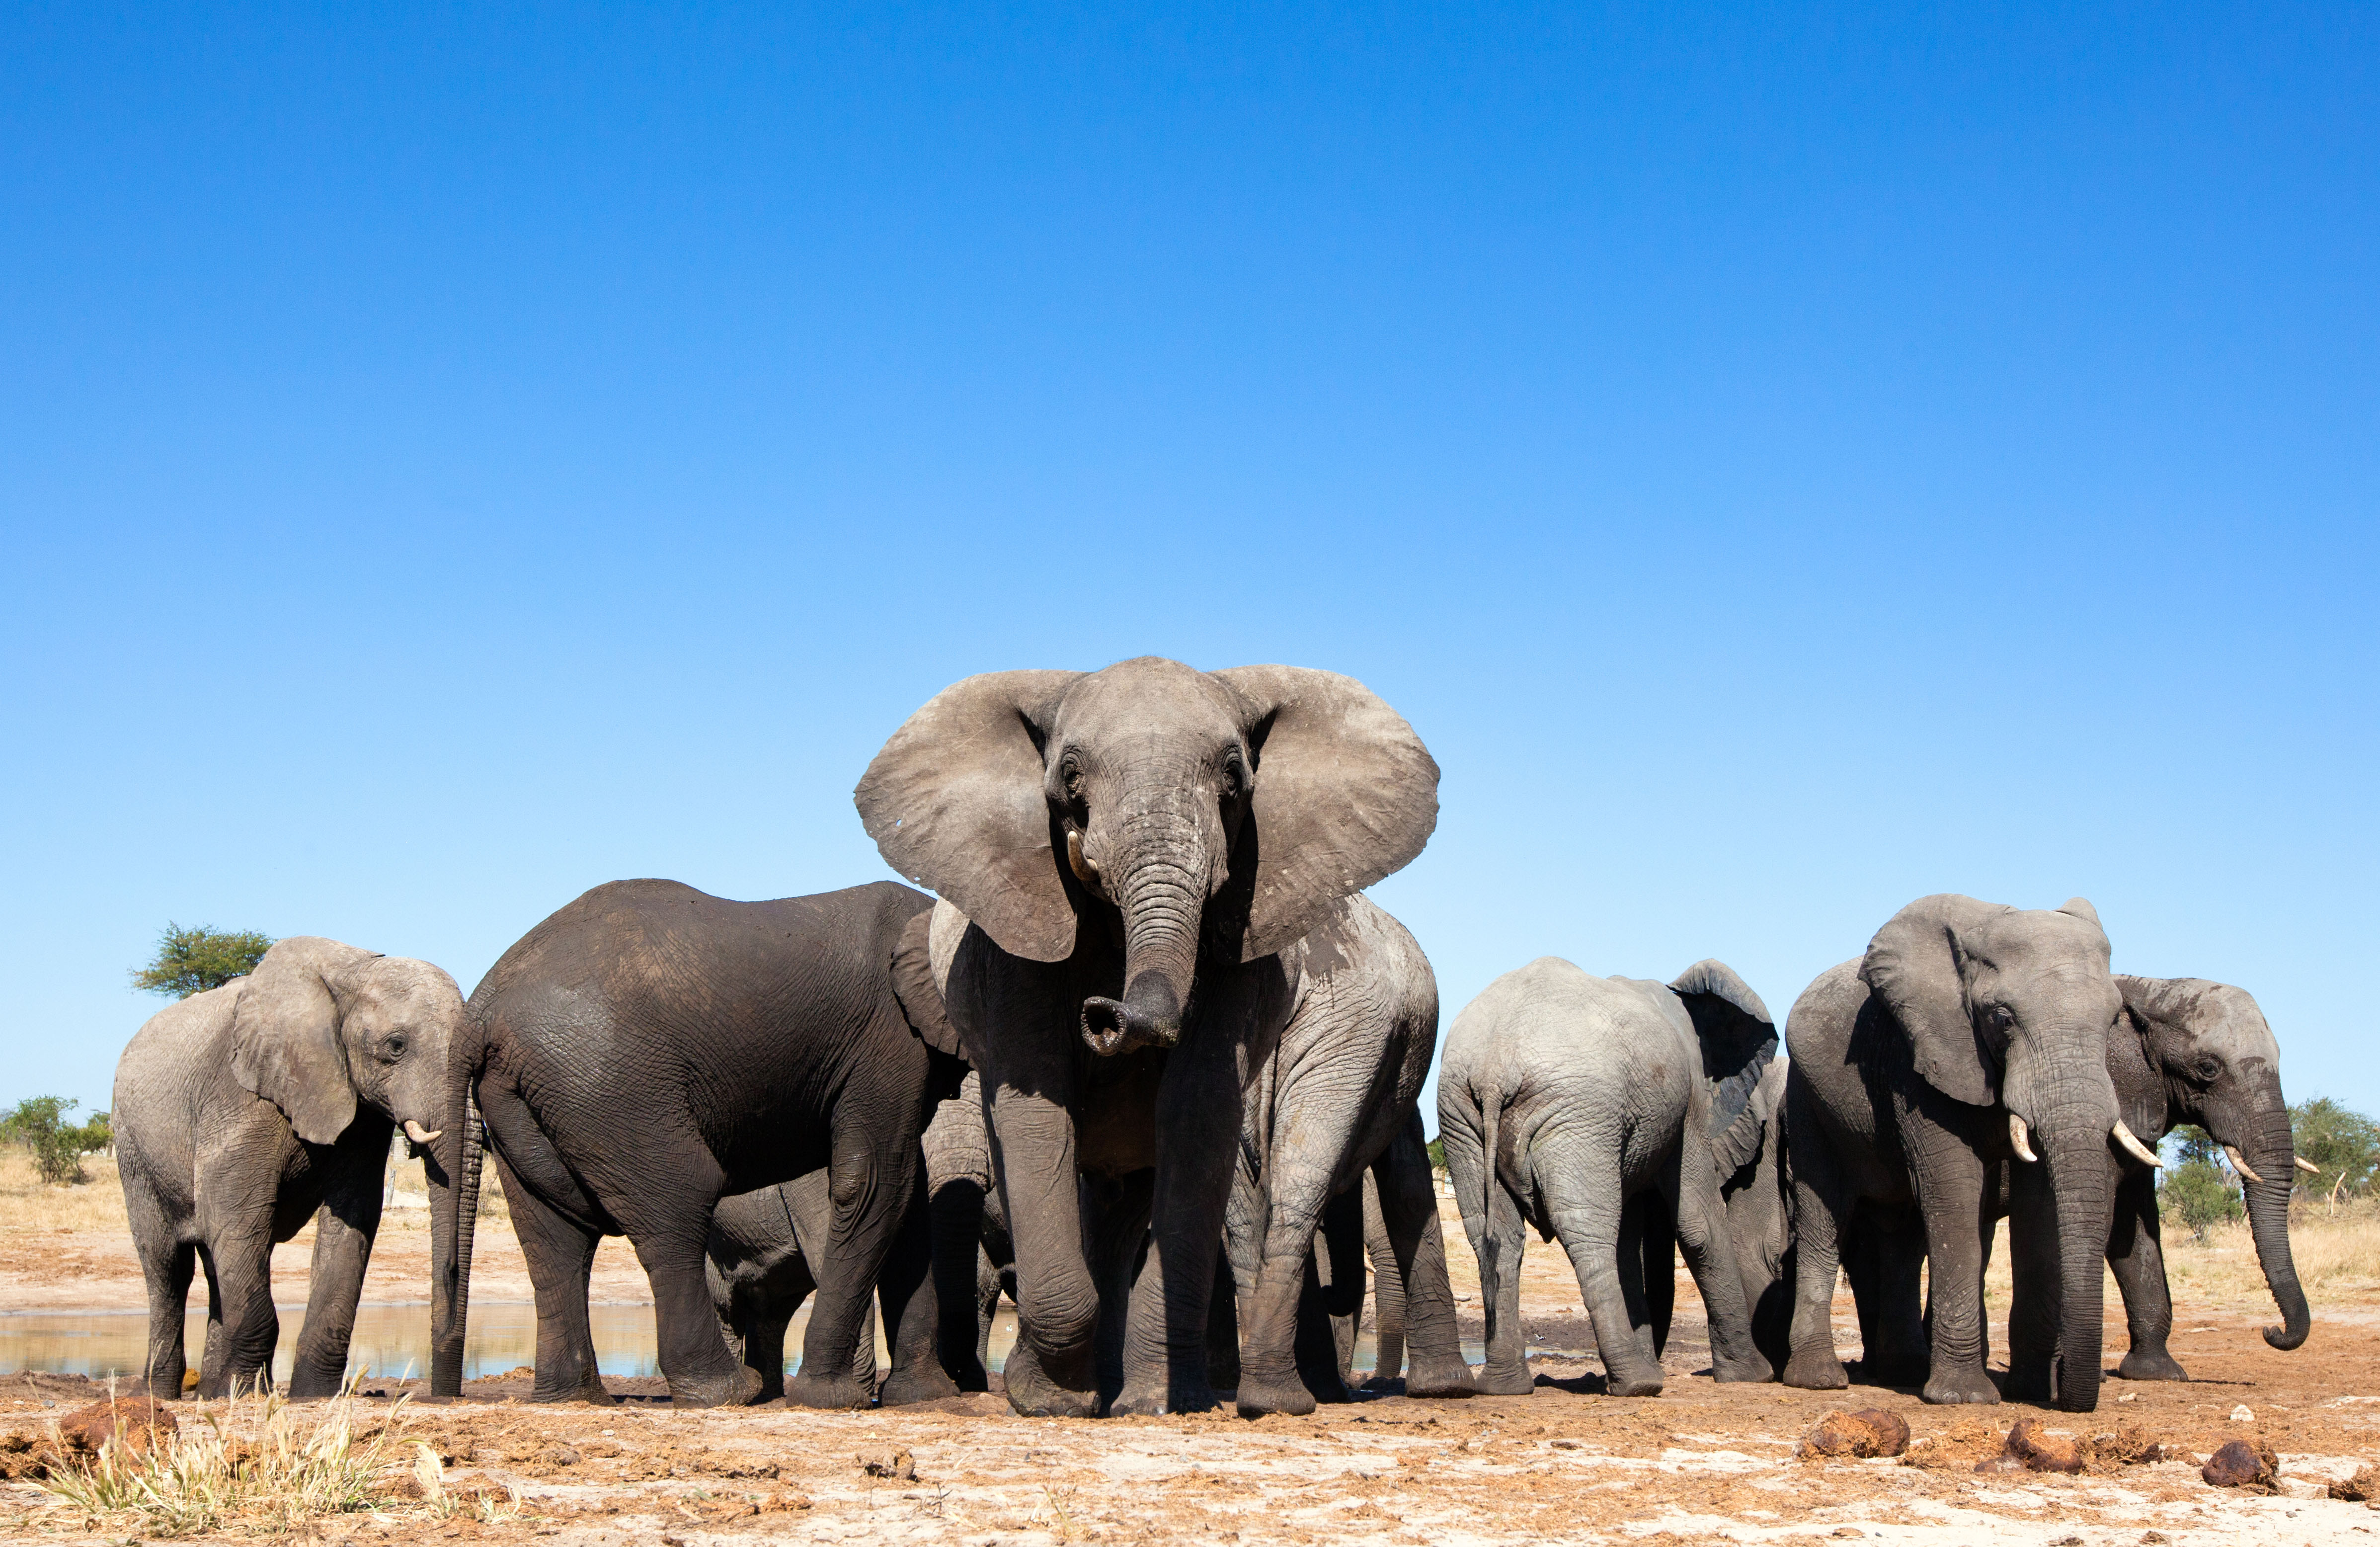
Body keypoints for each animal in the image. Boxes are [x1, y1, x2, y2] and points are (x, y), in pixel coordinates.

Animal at [113, 937, 464, 1399]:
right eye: (396, 1046)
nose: (447, 1392)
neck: (351, 971)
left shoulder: (360, 1109)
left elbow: (353, 1215)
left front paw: (312, 1395)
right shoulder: (238, 1094)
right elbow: (235, 1212)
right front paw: (245, 1393)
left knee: (217, 1262)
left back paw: (212, 1392)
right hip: (133, 1147)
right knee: (168, 1265)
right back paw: (164, 1394)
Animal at [866, 656, 1437, 1418]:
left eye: (1233, 777)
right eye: (1069, 776)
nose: (1104, 1014)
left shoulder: (1239, 940)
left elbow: (1196, 1109)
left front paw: (1152, 1403)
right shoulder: (1012, 934)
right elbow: (1037, 1109)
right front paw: (1050, 1400)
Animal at [1418, 952, 1780, 1399]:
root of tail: (1496, 1068)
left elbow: (1632, 1238)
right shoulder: (1691, 1101)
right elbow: (1700, 1227)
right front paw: (1754, 1375)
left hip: (1462, 1114)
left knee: (1497, 1234)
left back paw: (1506, 1386)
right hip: (1577, 1114)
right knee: (1588, 1230)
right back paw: (1639, 1384)